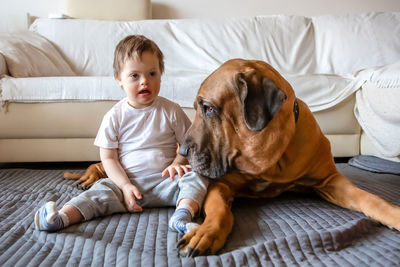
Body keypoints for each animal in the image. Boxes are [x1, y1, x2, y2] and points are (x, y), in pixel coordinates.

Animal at [176, 59, 400, 258]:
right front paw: (206, 232)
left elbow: (370, 199)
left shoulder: (330, 181)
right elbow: (220, 210)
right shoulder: (221, 184)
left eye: (208, 108)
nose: (183, 151)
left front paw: (394, 214)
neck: (270, 160)